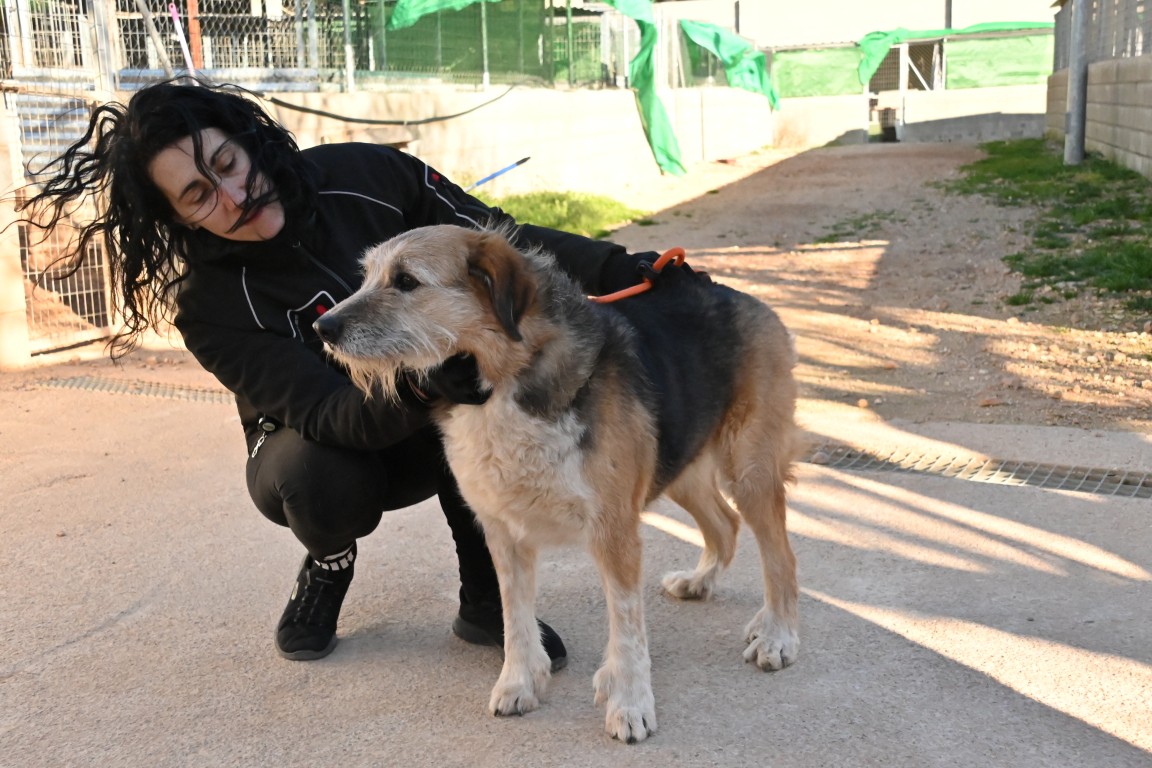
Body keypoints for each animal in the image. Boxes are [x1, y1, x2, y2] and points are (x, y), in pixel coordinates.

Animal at [314, 224, 800, 743]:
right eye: (366, 276)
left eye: (406, 281)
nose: (322, 329)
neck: (503, 384)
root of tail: (748, 299)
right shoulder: (502, 531)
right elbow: (515, 618)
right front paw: (519, 683)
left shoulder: (615, 529)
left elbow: (627, 628)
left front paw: (630, 703)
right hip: (680, 463)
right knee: (725, 524)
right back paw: (700, 581)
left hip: (749, 469)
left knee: (780, 556)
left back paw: (777, 634)